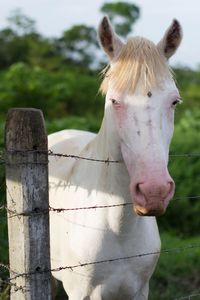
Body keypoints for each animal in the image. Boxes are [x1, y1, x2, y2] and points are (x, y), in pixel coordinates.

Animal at [48, 17, 183, 300]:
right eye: (114, 101)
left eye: (174, 102)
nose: (154, 192)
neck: (119, 228)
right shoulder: (81, 293)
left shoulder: (139, 291)